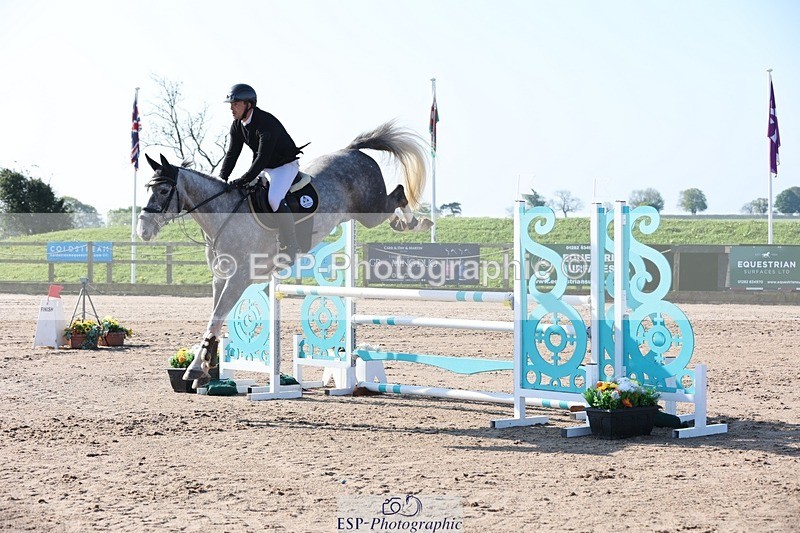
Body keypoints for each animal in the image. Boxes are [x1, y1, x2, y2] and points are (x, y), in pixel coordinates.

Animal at [137, 121, 432, 386]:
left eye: (163, 189)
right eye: (147, 188)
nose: (143, 230)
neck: (223, 214)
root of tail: (352, 150)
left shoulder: (239, 279)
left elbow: (216, 318)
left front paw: (196, 369)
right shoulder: (220, 279)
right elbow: (215, 319)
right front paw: (203, 369)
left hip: (369, 210)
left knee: (399, 195)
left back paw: (415, 223)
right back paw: (406, 222)